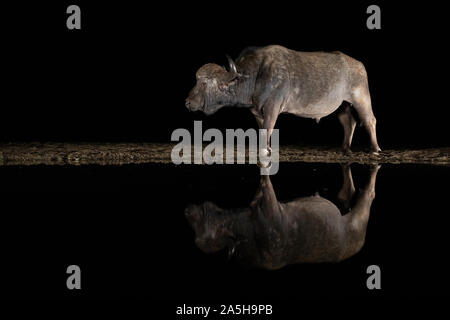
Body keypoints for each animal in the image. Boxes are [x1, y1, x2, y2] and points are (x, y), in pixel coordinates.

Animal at [185, 45, 380, 154]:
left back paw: (375, 149)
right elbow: (262, 129)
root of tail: (358, 65)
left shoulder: (273, 108)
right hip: (342, 105)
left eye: (204, 83)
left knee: (369, 120)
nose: (187, 102)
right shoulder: (257, 111)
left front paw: (265, 150)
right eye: (197, 80)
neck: (256, 76)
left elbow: (268, 128)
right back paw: (345, 148)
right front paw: (267, 147)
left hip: (361, 98)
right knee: (349, 121)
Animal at [185, 164, 382, 268]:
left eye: (201, 234)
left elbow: (266, 183)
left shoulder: (271, 207)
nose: (187, 211)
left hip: (358, 218)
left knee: (367, 196)